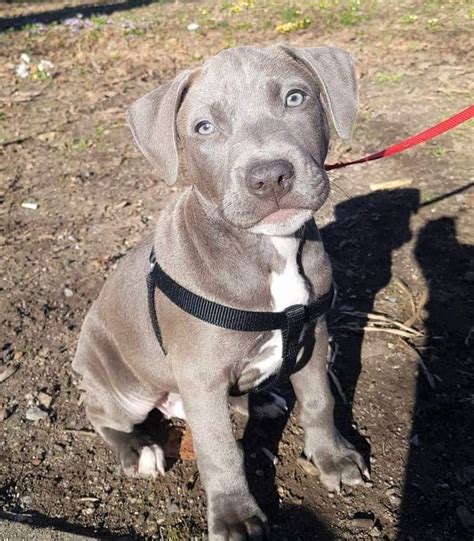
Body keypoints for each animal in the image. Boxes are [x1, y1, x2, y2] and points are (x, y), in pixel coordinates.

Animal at [74, 44, 368, 536]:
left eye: (295, 98)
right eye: (204, 128)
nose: (270, 176)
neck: (269, 249)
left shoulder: (313, 335)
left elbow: (319, 400)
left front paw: (333, 458)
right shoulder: (201, 373)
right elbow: (220, 450)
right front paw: (235, 516)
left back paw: (263, 399)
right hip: (122, 386)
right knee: (103, 416)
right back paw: (138, 451)